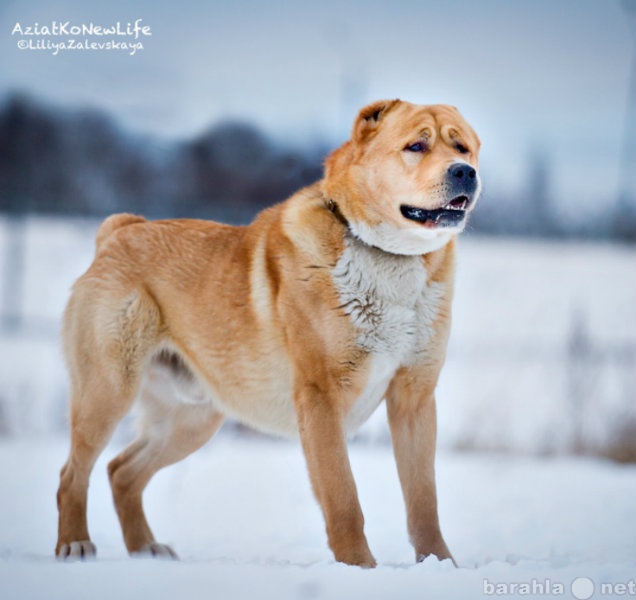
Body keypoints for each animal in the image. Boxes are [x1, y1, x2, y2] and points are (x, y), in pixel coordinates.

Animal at [57, 99, 480, 568]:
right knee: (73, 473)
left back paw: (146, 549)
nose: (464, 171)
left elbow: (423, 498)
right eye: (416, 146)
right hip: (107, 390)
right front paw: (358, 567)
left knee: (122, 472)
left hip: (191, 418)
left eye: (462, 146)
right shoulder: (321, 397)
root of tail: (121, 230)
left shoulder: (414, 397)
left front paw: (440, 564)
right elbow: (342, 494)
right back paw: (74, 545)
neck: (387, 258)